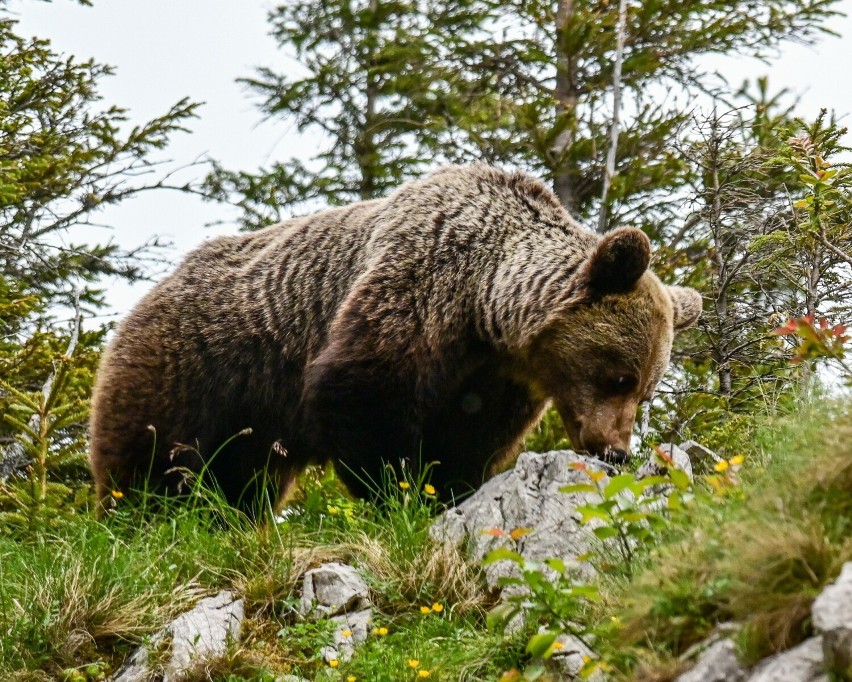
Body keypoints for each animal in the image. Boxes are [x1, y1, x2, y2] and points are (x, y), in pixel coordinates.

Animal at [88, 166, 700, 510]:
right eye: (618, 376)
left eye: (646, 390)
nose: (615, 450)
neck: (484, 307)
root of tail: (151, 292)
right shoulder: (417, 291)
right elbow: (362, 395)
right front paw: (400, 493)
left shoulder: (493, 379)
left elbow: (470, 440)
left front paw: (450, 488)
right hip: (194, 368)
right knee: (152, 457)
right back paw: (142, 513)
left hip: (252, 422)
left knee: (244, 478)